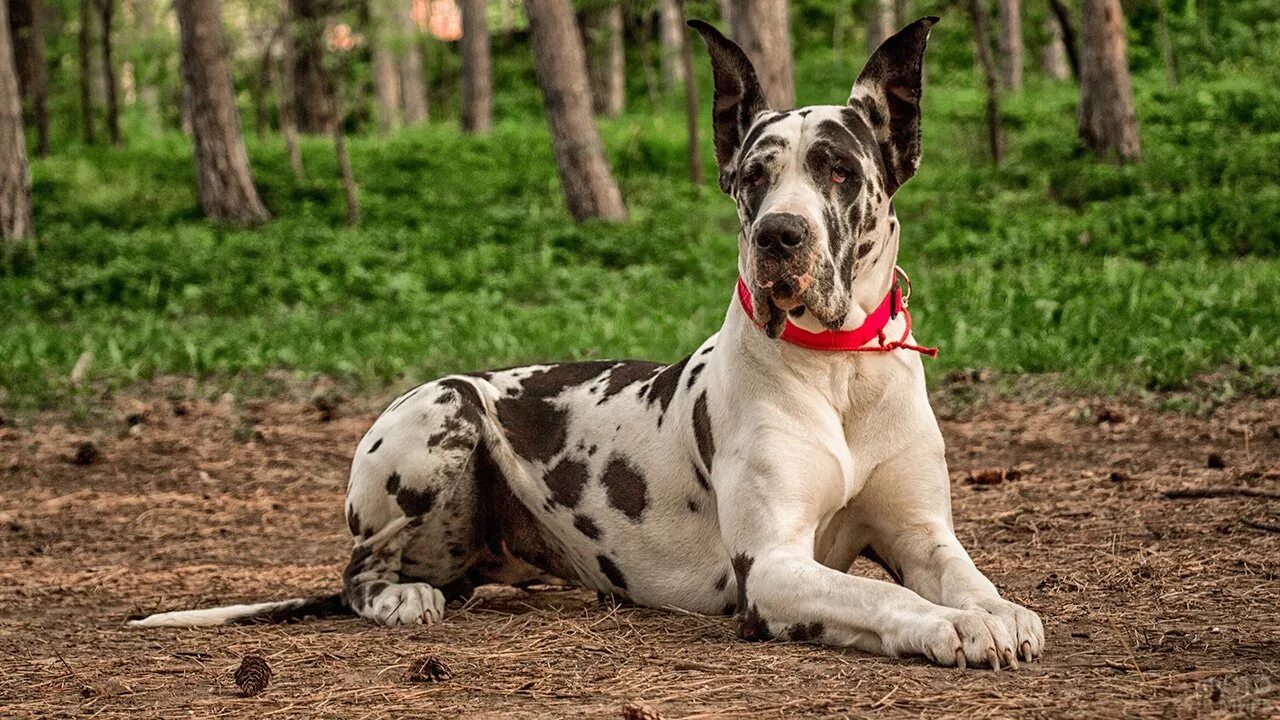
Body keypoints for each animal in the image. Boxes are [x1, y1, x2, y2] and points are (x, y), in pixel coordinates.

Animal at [135, 16, 1044, 666]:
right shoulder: (774, 570)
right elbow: (886, 598)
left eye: (840, 171)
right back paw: (401, 599)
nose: (779, 236)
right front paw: (952, 628)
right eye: (753, 177)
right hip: (442, 412)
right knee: (360, 571)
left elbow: (966, 576)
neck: (839, 372)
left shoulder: (920, 535)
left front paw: (999, 611)